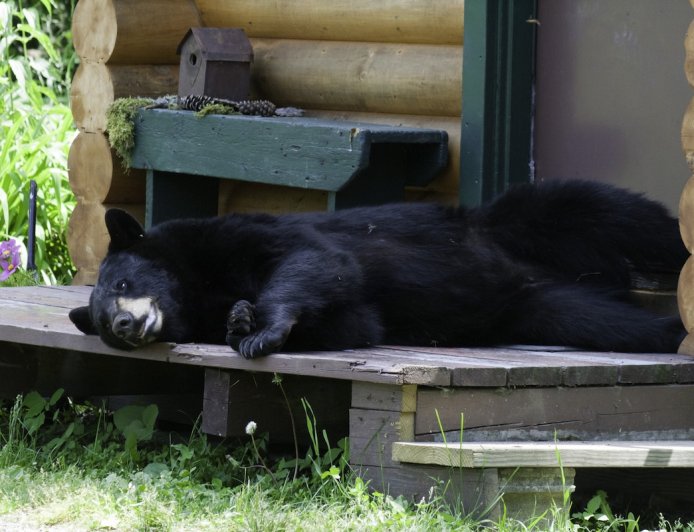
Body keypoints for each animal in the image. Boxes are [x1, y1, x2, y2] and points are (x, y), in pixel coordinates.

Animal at [69, 179, 688, 358]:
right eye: (100, 323)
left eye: (123, 282)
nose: (123, 324)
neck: (196, 287)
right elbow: (357, 323)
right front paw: (241, 321)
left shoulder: (237, 235)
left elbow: (312, 259)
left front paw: (260, 326)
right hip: (540, 308)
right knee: (608, 321)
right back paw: (666, 329)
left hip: (521, 221)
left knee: (619, 213)